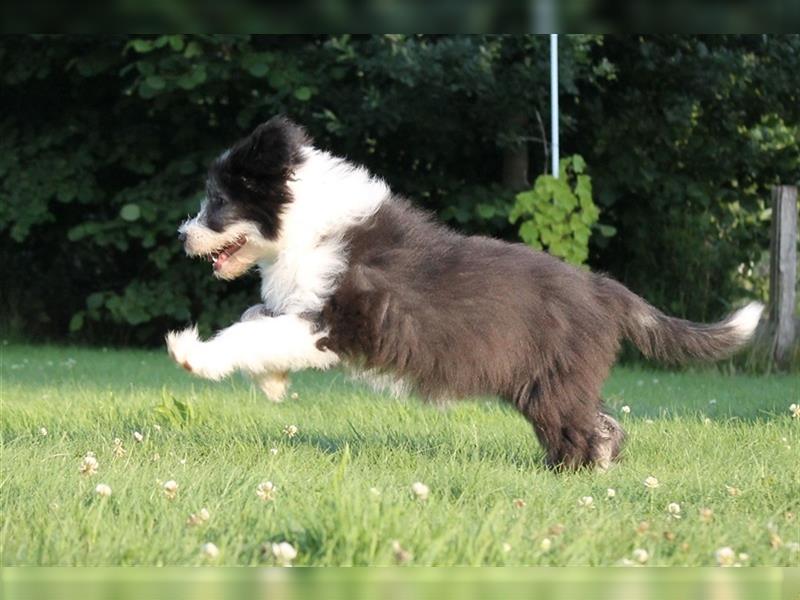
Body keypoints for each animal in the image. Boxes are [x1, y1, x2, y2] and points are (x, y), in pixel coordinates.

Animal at [167, 117, 764, 472]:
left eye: (216, 201)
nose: (182, 235)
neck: (304, 227)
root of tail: (603, 288)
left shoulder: (338, 321)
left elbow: (253, 330)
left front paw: (192, 353)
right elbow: (256, 315)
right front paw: (272, 384)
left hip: (551, 378)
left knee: (578, 430)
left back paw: (573, 475)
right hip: (559, 379)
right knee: (601, 422)